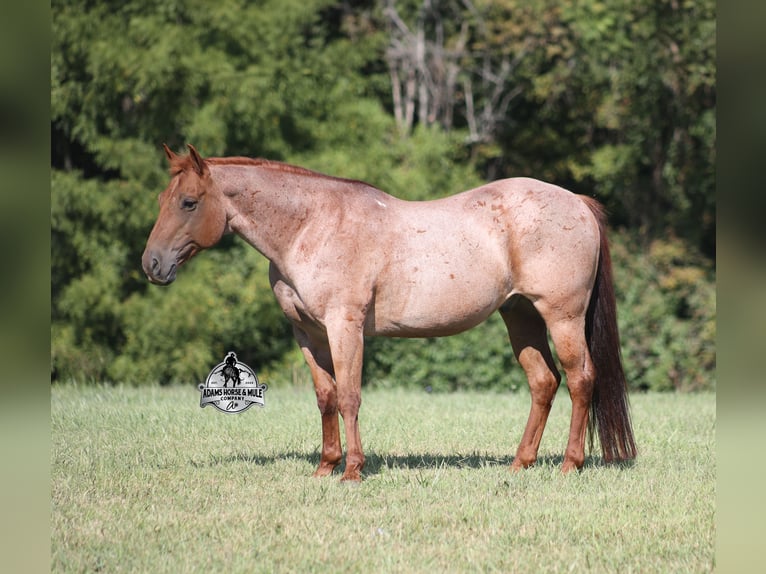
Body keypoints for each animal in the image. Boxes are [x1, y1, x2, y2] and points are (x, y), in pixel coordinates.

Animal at [142, 144, 636, 481]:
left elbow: (349, 396)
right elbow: (325, 397)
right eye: (162, 200)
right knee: (543, 382)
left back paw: (570, 465)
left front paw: (352, 470)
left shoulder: (345, 326)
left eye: (188, 202)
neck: (312, 226)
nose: (152, 264)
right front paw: (325, 467)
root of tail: (577, 202)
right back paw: (520, 463)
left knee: (580, 380)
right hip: (521, 317)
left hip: (561, 317)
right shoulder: (307, 334)